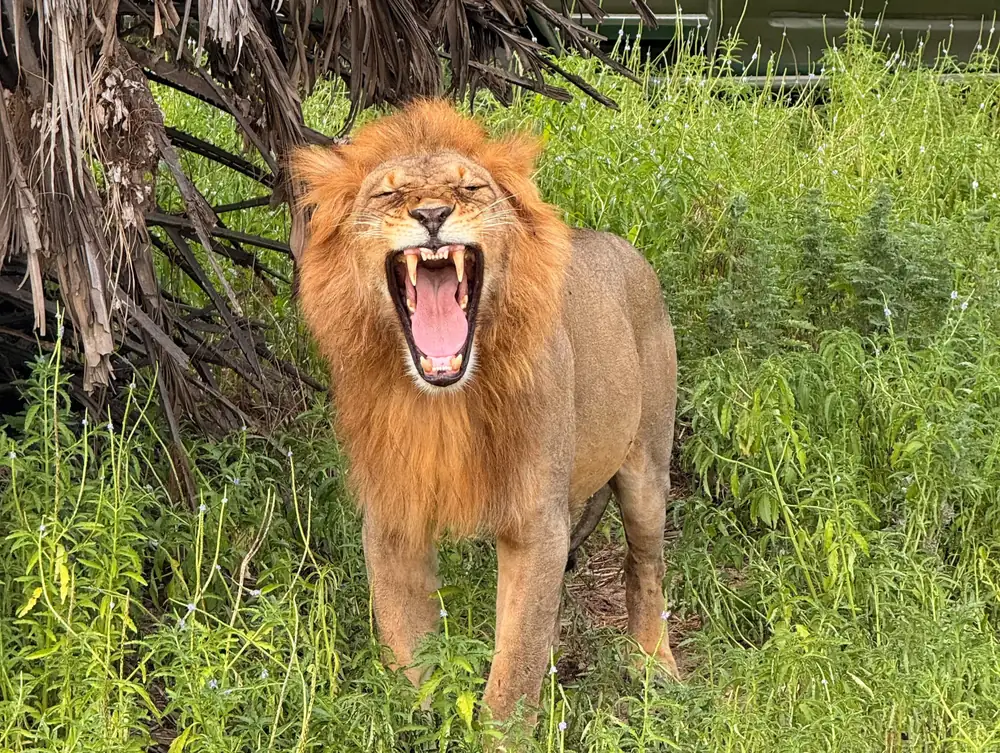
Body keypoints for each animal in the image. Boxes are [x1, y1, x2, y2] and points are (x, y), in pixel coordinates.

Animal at [291, 100, 678, 724]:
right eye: (387, 195)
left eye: (469, 187)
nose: (431, 213)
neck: (446, 402)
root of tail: (627, 250)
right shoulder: (393, 515)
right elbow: (410, 649)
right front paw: (416, 724)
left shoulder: (535, 521)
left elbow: (514, 669)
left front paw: (503, 729)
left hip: (647, 466)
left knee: (645, 566)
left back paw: (654, 667)